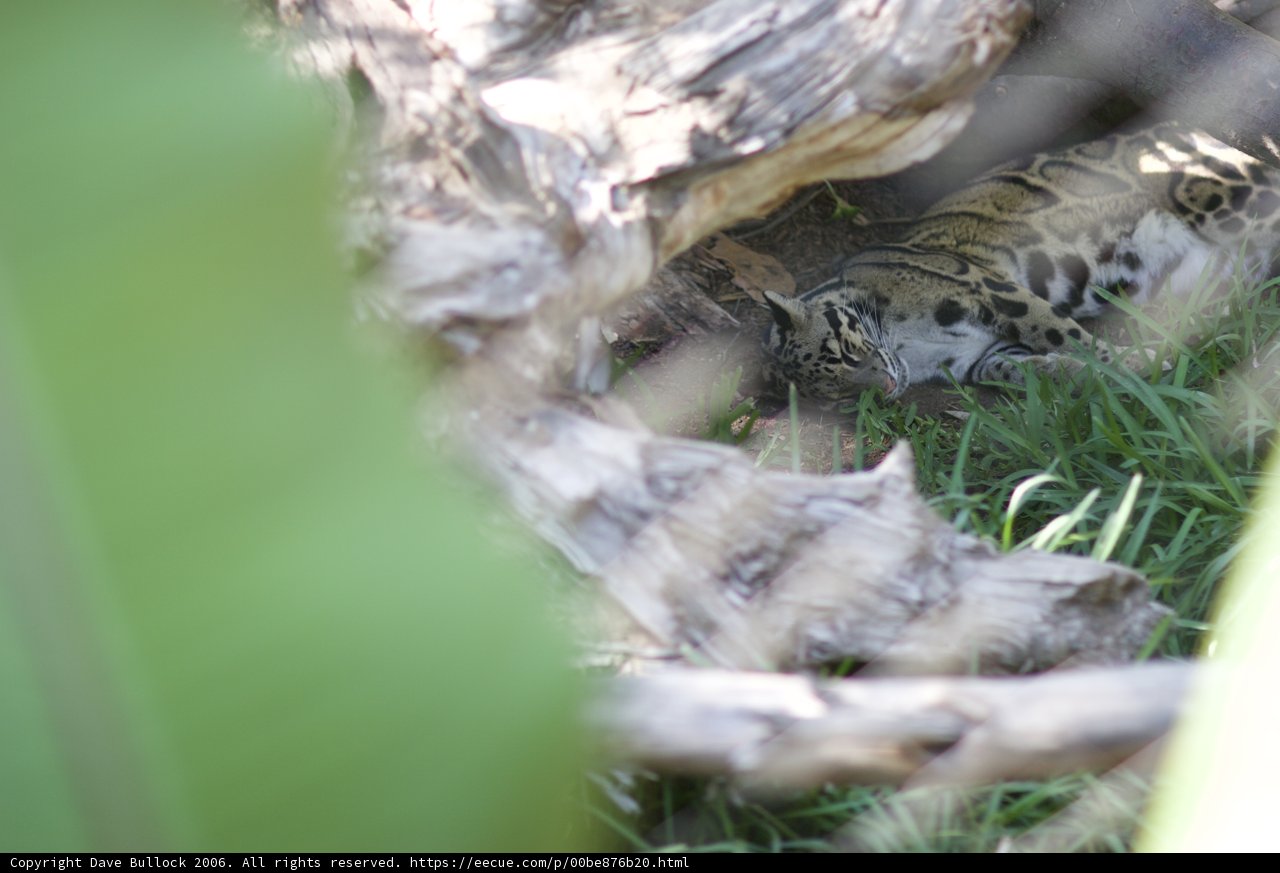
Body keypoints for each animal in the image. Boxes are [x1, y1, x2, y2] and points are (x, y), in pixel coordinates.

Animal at [762, 122, 1280, 401]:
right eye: (836, 396)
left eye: (845, 354)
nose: (886, 389)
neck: (906, 345)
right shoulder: (984, 354)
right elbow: (1021, 367)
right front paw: (1079, 372)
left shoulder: (987, 289)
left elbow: (1061, 331)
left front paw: (1131, 365)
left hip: (1220, 198)